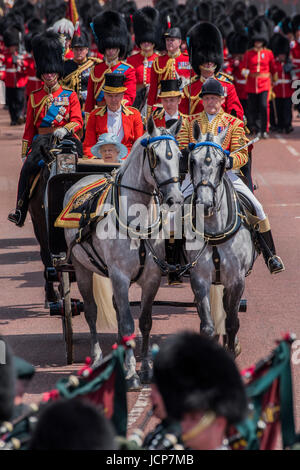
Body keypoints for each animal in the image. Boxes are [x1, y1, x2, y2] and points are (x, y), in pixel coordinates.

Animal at [63, 117, 183, 390]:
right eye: (155, 157)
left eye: (180, 155)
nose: (175, 198)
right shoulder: (119, 275)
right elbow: (128, 324)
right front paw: (132, 374)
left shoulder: (151, 278)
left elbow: (144, 322)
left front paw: (145, 368)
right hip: (81, 268)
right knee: (91, 310)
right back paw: (97, 358)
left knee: (117, 309)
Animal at [184, 122, 256, 356]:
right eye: (192, 160)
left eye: (222, 162)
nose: (205, 204)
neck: (215, 231)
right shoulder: (199, 278)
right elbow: (207, 325)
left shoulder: (236, 280)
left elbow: (232, 322)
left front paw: (232, 350)